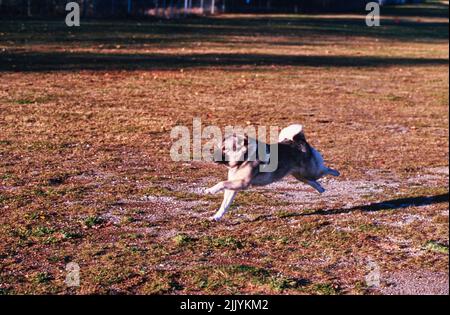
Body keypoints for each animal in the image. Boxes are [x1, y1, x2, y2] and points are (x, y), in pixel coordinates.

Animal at [205, 124, 342, 221]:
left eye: (224, 149)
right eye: (218, 147)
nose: (212, 157)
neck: (243, 158)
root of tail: (299, 141)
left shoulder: (243, 183)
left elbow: (222, 183)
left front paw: (210, 190)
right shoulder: (233, 187)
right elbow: (225, 205)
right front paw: (216, 217)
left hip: (311, 171)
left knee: (324, 170)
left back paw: (336, 173)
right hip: (299, 175)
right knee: (312, 181)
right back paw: (320, 189)